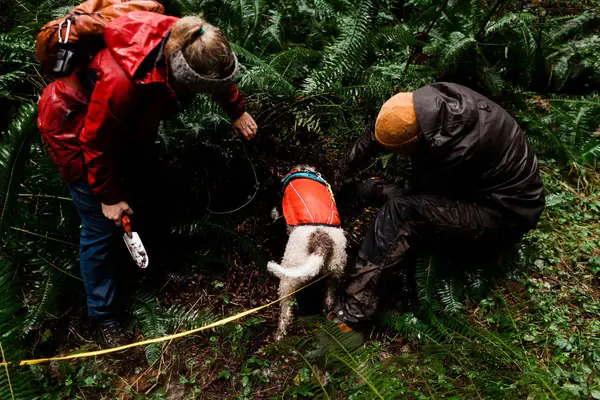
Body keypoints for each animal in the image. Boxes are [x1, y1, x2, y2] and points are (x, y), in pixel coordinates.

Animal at [268, 165, 346, 340]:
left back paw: (279, 335)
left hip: (289, 277)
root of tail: (321, 242)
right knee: (330, 291)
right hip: (336, 267)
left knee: (287, 312)